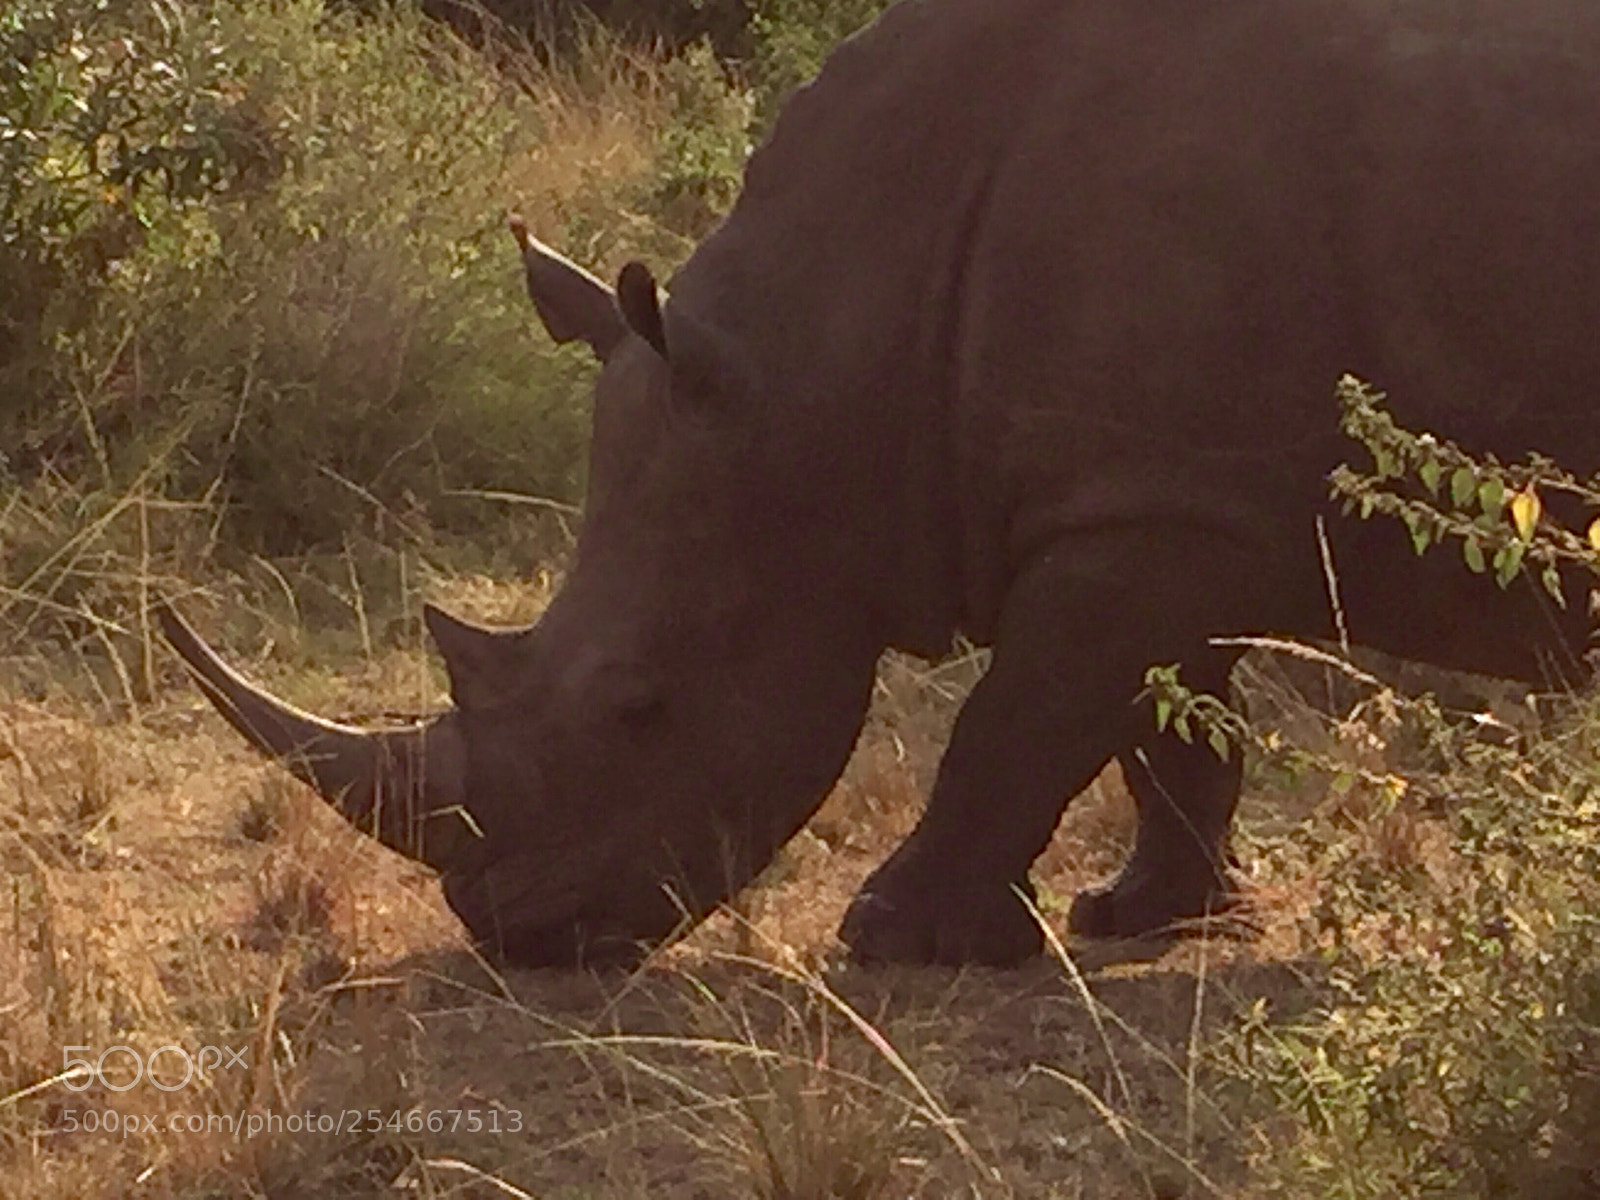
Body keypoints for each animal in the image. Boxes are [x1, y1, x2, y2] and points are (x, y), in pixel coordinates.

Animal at [159, 0, 1600, 966]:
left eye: (641, 706)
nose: (511, 931)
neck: (828, 365)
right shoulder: (1158, 498)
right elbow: (1162, 730)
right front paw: (1135, 917)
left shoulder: (1149, 518)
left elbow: (1020, 721)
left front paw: (892, 933)